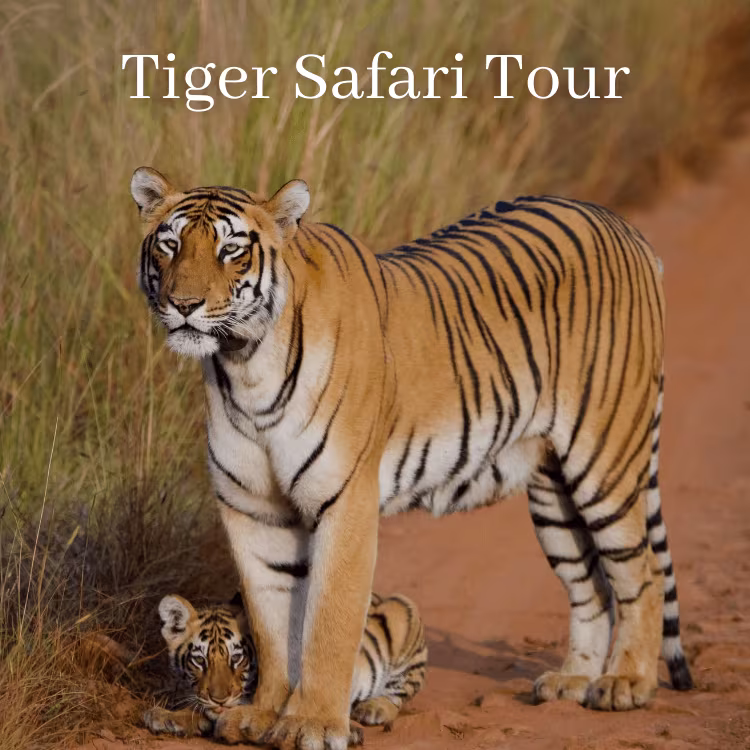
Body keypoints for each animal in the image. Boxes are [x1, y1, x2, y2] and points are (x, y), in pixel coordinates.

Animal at [143, 591, 426, 741]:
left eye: (236, 658)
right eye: (200, 660)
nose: (220, 699)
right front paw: (163, 716)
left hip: (405, 612)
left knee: (398, 694)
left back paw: (372, 709)